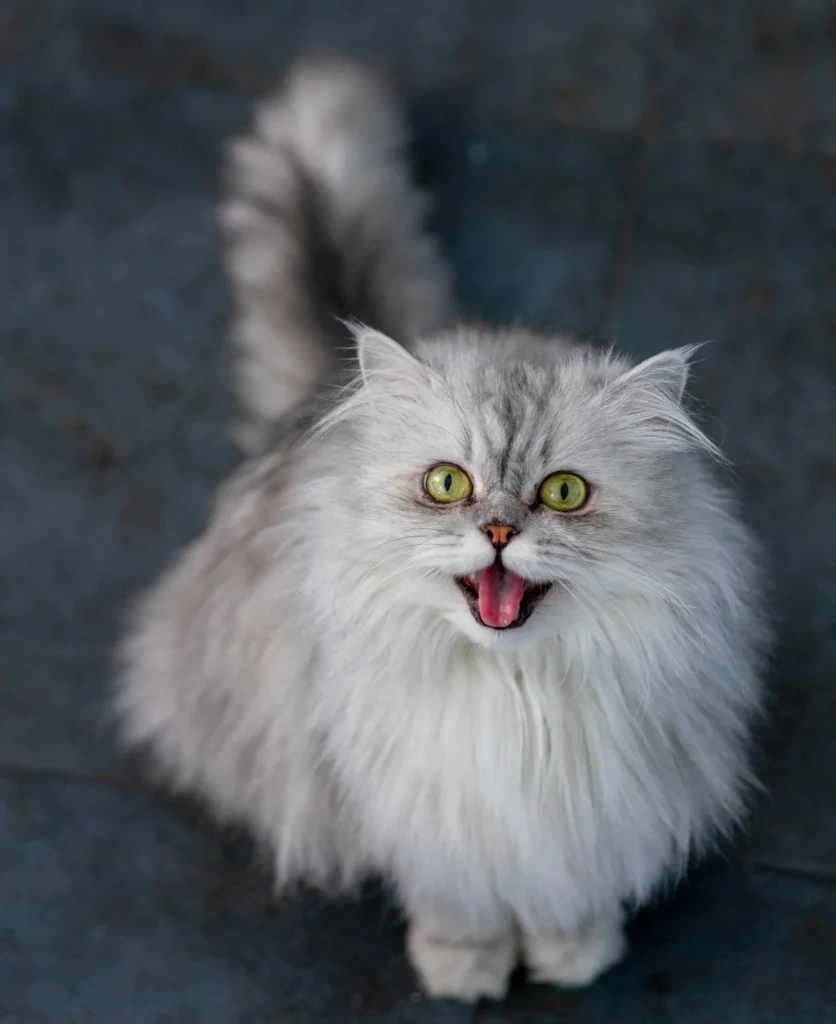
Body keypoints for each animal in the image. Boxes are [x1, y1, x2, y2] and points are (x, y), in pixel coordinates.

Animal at [114, 54, 766, 999]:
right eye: (448, 483)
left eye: (563, 493)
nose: (496, 531)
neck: (515, 692)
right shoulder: (419, 804)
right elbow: (458, 897)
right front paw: (464, 965)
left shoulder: (586, 807)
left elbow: (563, 889)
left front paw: (573, 951)